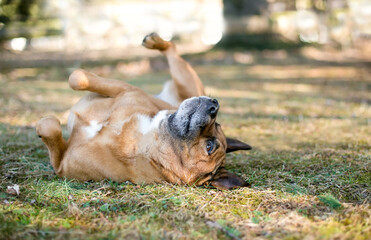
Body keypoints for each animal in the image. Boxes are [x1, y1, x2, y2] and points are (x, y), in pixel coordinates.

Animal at [36, 32, 251, 189]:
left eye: (209, 147)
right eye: (218, 123)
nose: (215, 105)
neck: (145, 140)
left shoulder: (61, 165)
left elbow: (49, 126)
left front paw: (44, 125)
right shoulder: (124, 89)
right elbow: (77, 76)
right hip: (186, 83)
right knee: (172, 49)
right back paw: (155, 41)